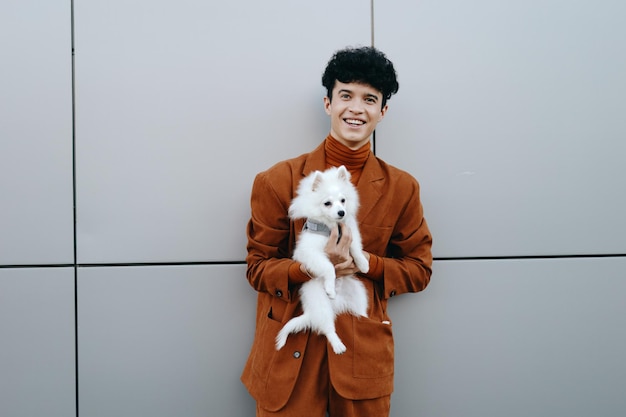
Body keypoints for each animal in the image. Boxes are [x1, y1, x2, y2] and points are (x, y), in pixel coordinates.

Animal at [274, 164, 370, 352]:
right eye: (327, 203)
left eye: (343, 200)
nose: (341, 212)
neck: (332, 226)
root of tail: (337, 304)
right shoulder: (310, 252)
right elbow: (328, 267)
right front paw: (330, 285)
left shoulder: (350, 232)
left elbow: (356, 248)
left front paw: (363, 263)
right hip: (321, 306)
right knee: (328, 329)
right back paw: (338, 345)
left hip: (358, 294)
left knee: (360, 311)